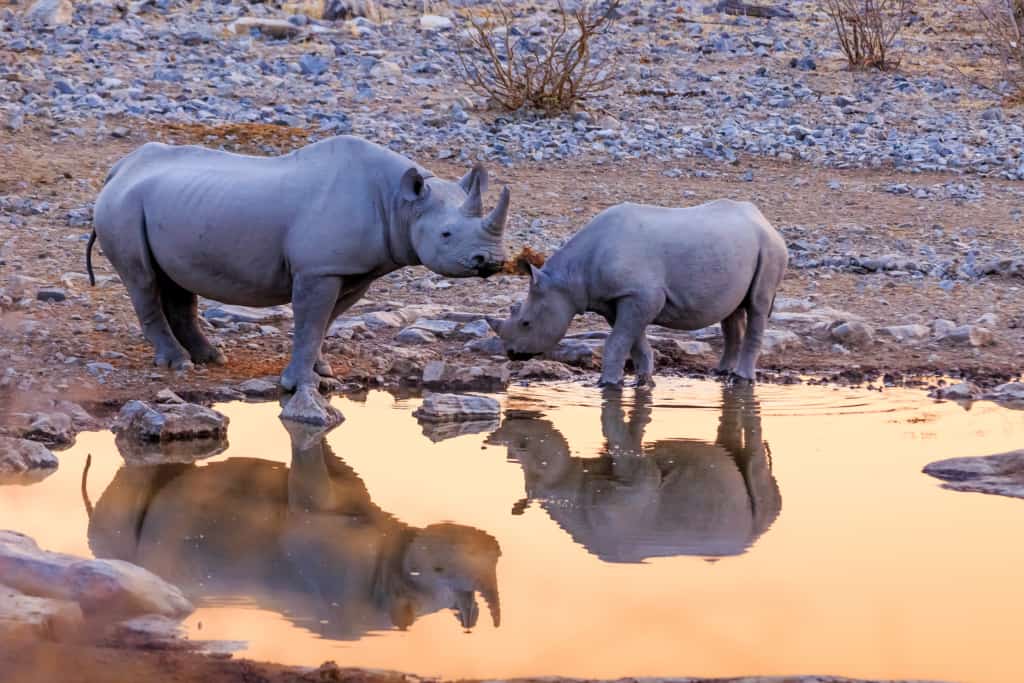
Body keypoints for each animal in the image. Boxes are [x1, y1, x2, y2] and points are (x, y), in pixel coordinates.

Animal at [86, 135, 509, 395]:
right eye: (446, 235)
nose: (492, 261)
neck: (400, 204)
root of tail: (118, 170)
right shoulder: (318, 269)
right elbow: (310, 320)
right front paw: (299, 386)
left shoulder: (351, 270)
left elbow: (325, 322)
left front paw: (322, 371)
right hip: (123, 208)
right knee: (142, 280)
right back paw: (178, 365)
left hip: (164, 206)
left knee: (174, 282)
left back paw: (211, 358)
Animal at [483, 387, 778, 565]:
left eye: (522, 445)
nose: (514, 413)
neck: (564, 488)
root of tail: (751, 541)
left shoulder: (634, 487)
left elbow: (626, 445)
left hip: (754, 520)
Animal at [491, 200, 786, 387]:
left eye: (526, 323)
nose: (511, 353)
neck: (570, 278)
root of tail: (764, 220)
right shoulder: (614, 299)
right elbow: (633, 340)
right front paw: (643, 380)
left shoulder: (641, 295)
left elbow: (617, 341)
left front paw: (607, 384)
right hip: (741, 248)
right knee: (732, 312)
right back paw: (721, 373)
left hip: (770, 248)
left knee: (758, 305)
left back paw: (741, 379)